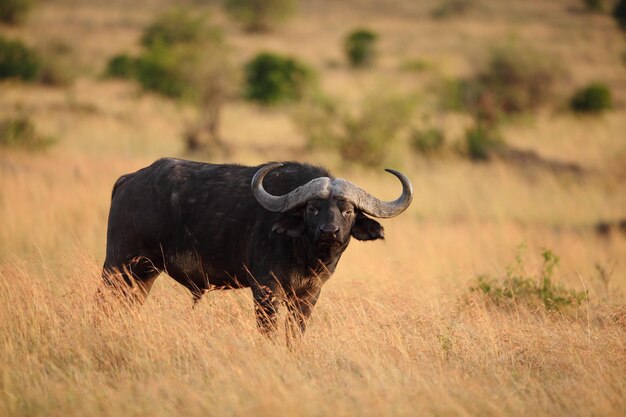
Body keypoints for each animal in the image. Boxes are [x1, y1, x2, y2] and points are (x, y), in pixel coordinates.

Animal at [100, 158, 412, 336]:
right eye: (313, 208)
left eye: (347, 210)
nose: (329, 232)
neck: (305, 254)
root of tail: (130, 180)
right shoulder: (265, 289)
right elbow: (268, 331)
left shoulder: (309, 294)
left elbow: (295, 332)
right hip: (119, 265)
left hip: (144, 275)